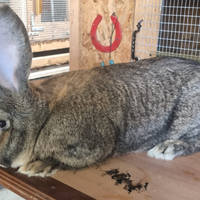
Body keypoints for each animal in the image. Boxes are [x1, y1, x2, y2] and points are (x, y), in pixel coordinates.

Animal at [0, 3, 200, 177]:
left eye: (1, 123)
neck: (42, 120)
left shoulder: (94, 144)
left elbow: (66, 159)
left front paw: (37, 166)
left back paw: (166, 148)